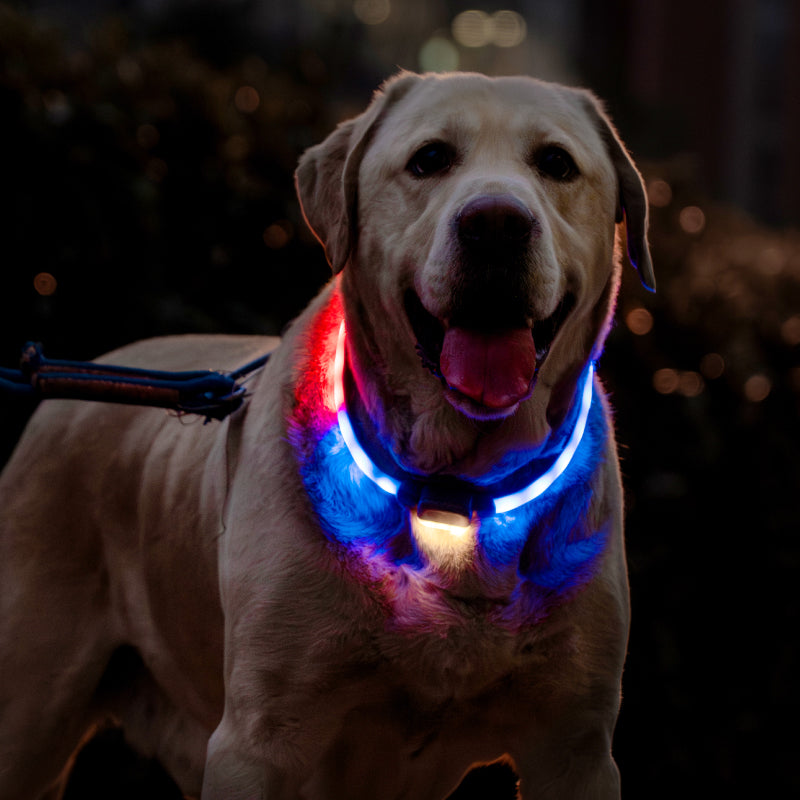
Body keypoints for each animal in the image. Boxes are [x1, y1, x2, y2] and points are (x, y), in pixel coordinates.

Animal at [0, 70, 652, 800]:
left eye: (557, 164)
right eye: (430, 158)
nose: (496, 224)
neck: (456, 490)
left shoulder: (576, 747)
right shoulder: (258, 741)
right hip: (27, 706)